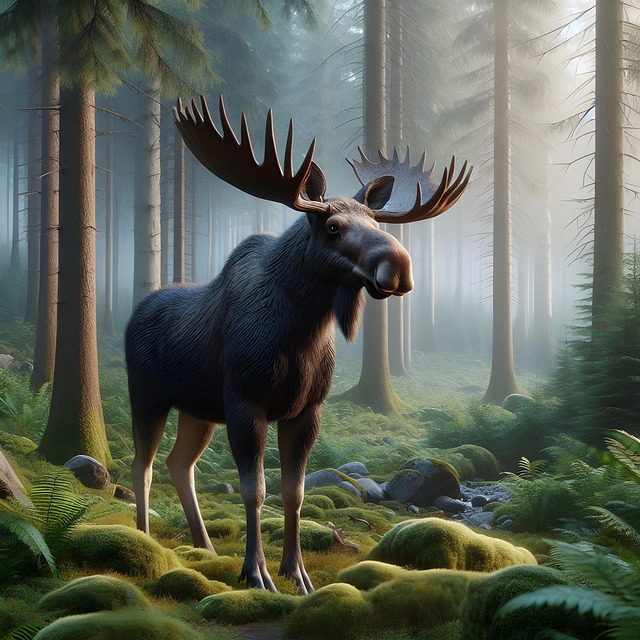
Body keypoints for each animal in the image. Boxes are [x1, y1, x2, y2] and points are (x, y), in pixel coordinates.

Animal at [125, 95, 471, 594]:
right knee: (143, 465)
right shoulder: (245, 402)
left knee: (179, 463)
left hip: (198, 408)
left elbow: (295, 491)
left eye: (375, 220)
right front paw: (256, 573)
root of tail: (135, 312)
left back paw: (205, 546)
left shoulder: (306, 410)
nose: (399, 265)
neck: (301, 334)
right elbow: (255, 490)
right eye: (332, 226)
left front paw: (297, 572)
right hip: (148, 395)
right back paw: (145, 538)